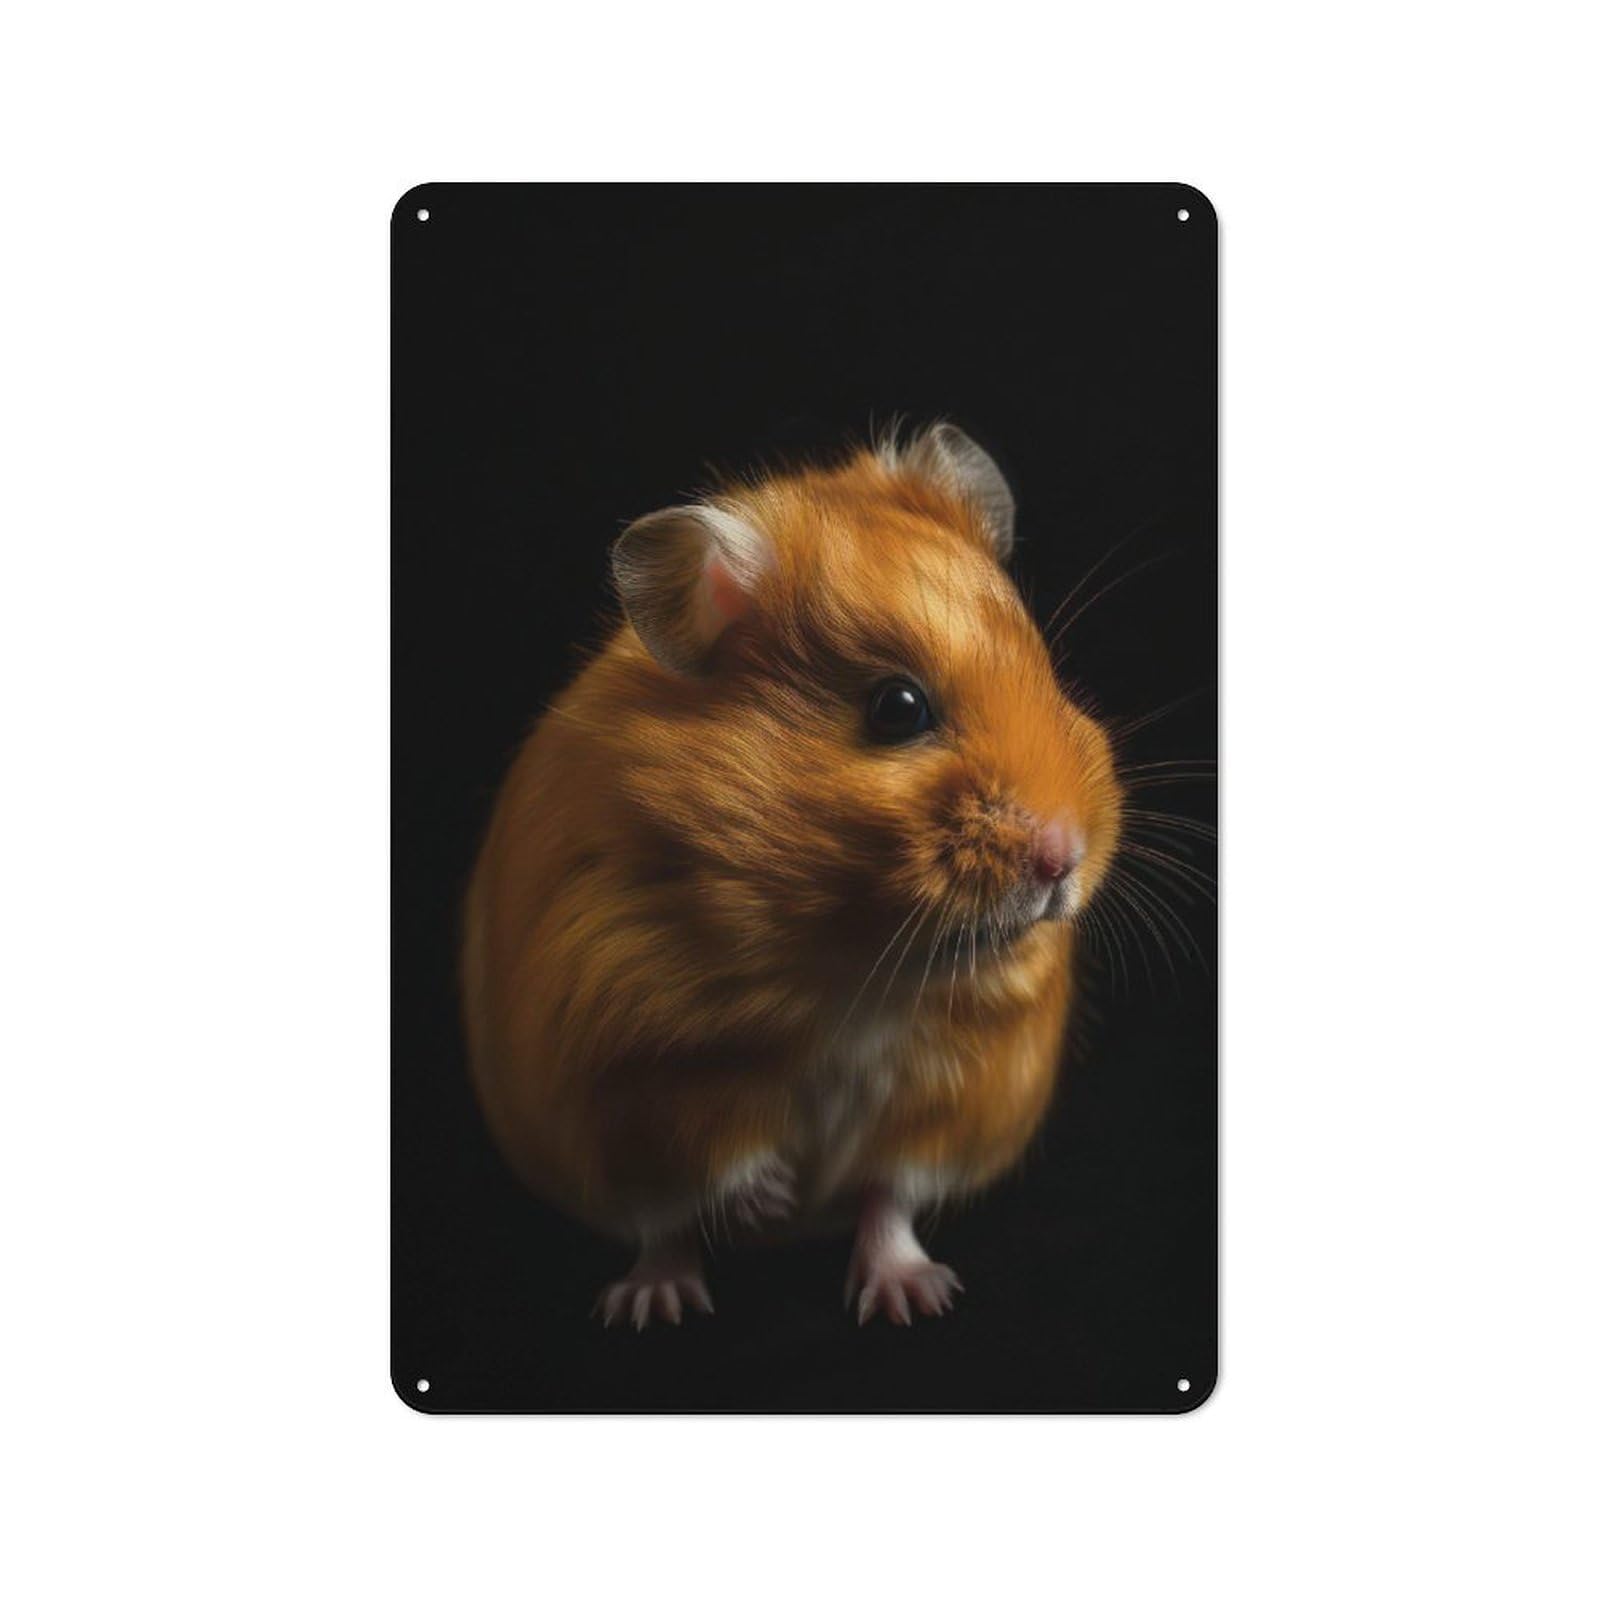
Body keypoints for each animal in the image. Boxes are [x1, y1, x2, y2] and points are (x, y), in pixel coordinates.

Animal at [462, 423, 1123, 1328]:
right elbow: (719, 1153)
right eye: (898, 709)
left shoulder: (962, 1085)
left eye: (1045, 670)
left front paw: (901, 1287)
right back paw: (657, 1304)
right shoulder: (640, 1064)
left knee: (881, 1211)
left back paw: (913, 1297)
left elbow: (895, 1182)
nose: (1065, 857)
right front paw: (768, 1196)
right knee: (661, 1230)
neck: (854, 965)